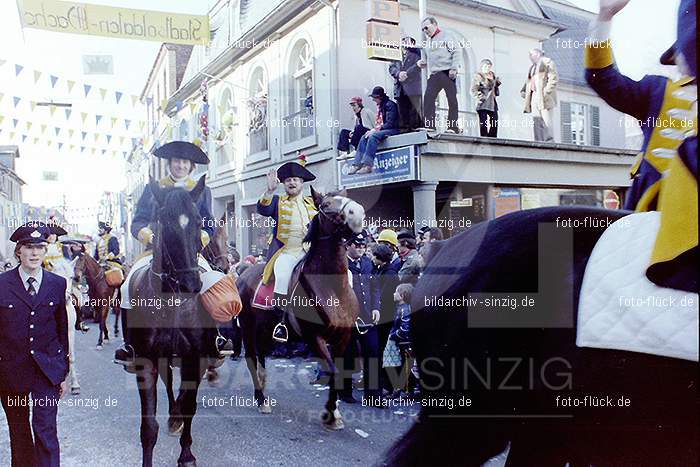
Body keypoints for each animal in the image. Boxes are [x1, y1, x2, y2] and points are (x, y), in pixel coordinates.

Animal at [126, 177, 219, 467]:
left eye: (199, 221)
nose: (191, 284)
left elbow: (190, 406)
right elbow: (148, 427)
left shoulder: (195, 358)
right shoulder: (146, 360)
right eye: (164, 222)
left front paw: (186, 455)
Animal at [237, 188, 366, 430]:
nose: (358, 212)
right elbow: (332, 371)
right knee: (251, 359)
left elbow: (339, 372)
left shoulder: (343, 337)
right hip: (248, 328)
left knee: (261, 358)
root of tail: (242, 274)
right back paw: (261, 399)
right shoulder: (314, 337)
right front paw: (330, 414)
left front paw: (334, 413)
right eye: (325, 205)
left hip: (265, 331)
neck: (333, 289)